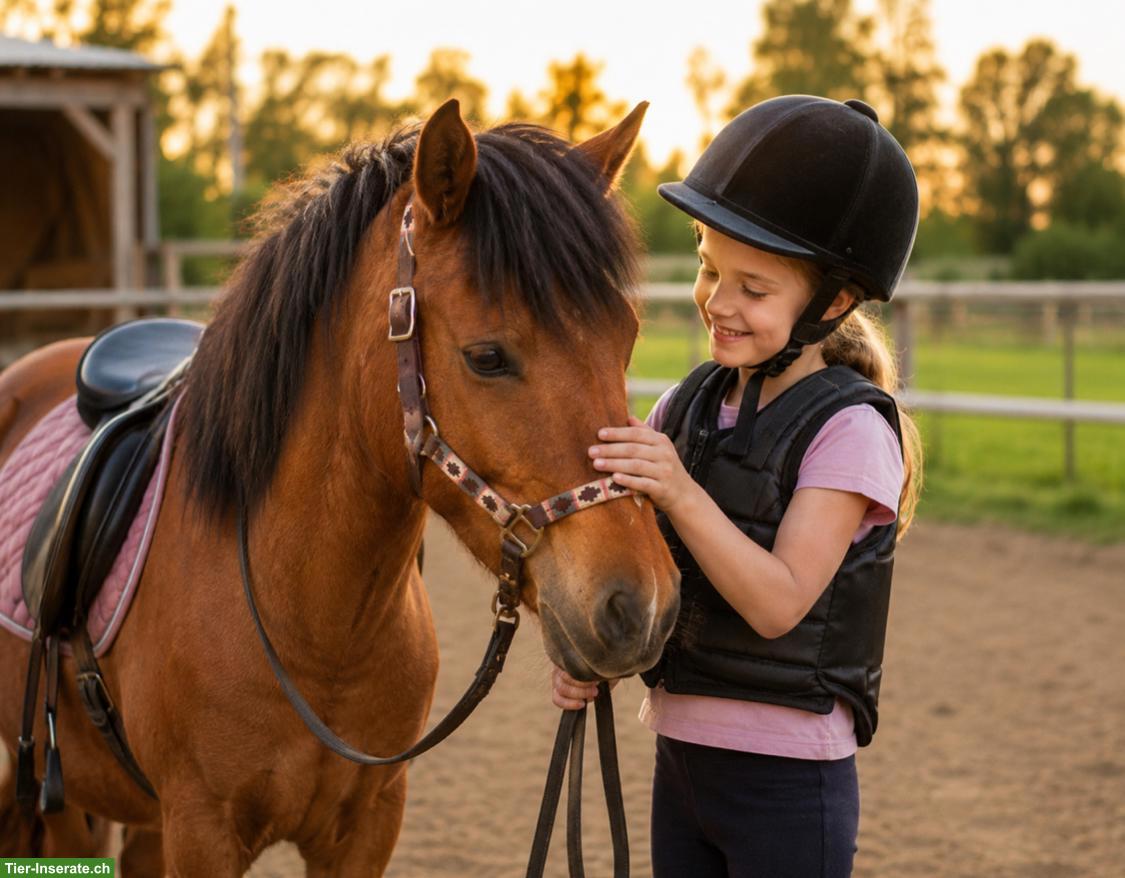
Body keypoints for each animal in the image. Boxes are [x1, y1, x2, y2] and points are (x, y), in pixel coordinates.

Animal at [0, 99, 680, 875]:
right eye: (486, 356)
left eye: (626, 338)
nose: (643, 607)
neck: (316, 633)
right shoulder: (200, 829)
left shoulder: (365, 826)